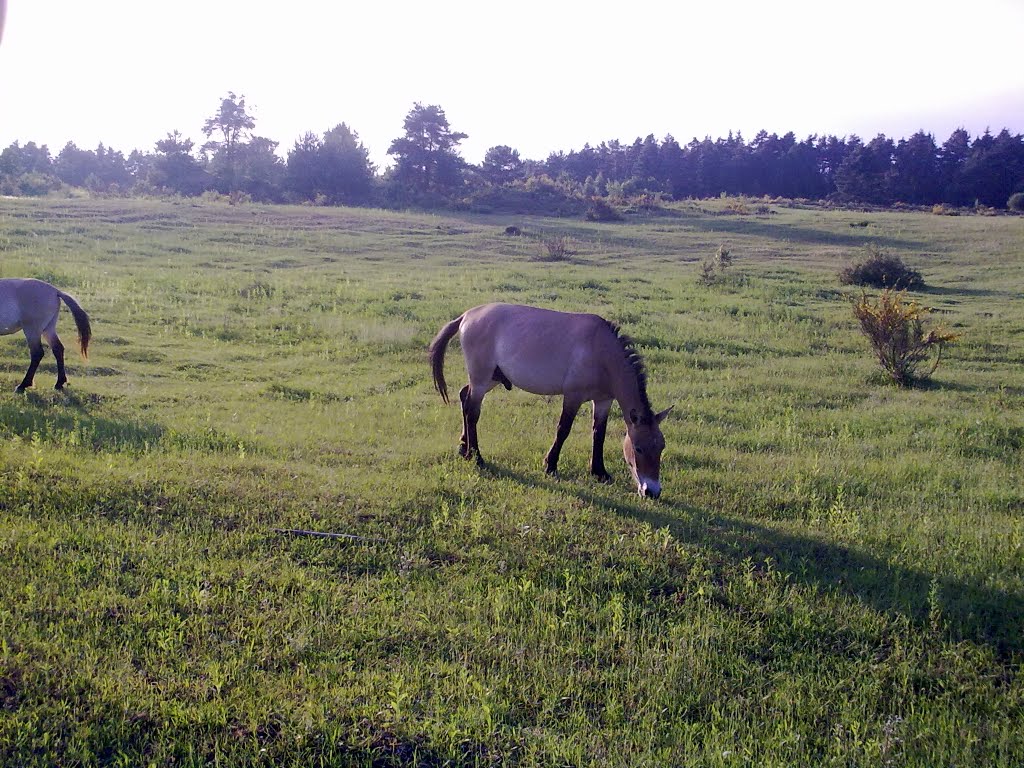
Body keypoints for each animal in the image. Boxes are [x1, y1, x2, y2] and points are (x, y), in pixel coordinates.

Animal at [425, 303, 671, 501]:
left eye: (661, 447)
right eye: (638, 448)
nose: (652, 492)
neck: (601, 351)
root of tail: (466, 316)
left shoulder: (603, 400)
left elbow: (598, 433)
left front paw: (599, 472)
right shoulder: (573, 396)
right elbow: (563, 429)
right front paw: (550, 465)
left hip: (490, 378)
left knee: (463, 396)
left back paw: (463, 447)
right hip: (481, 377)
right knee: (472, 411)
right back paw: (475, 456)